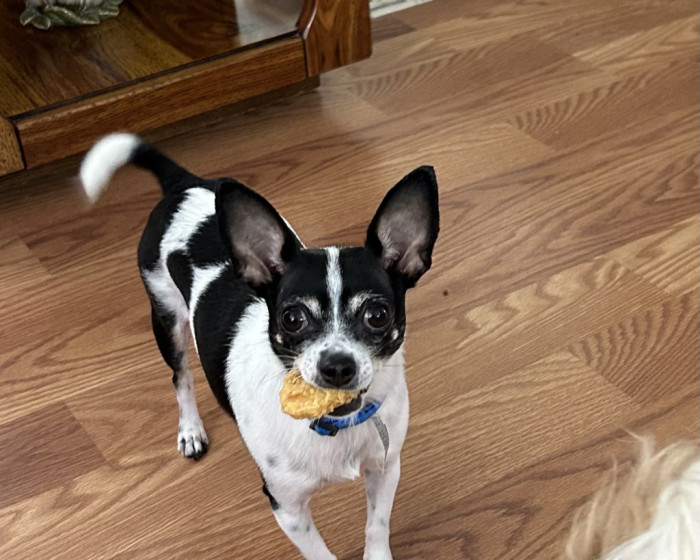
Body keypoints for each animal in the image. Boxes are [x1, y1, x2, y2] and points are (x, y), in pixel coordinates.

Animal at [80, 133, 440, 560]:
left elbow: (376, 528)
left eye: (378, 315)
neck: (334, 425)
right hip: (166, 319)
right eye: (292, 319)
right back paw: (190, 430)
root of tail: (184, 184)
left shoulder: (385, 470)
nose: (337, 365)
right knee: (181, 377)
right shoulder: (288, 508)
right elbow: (322, 555)